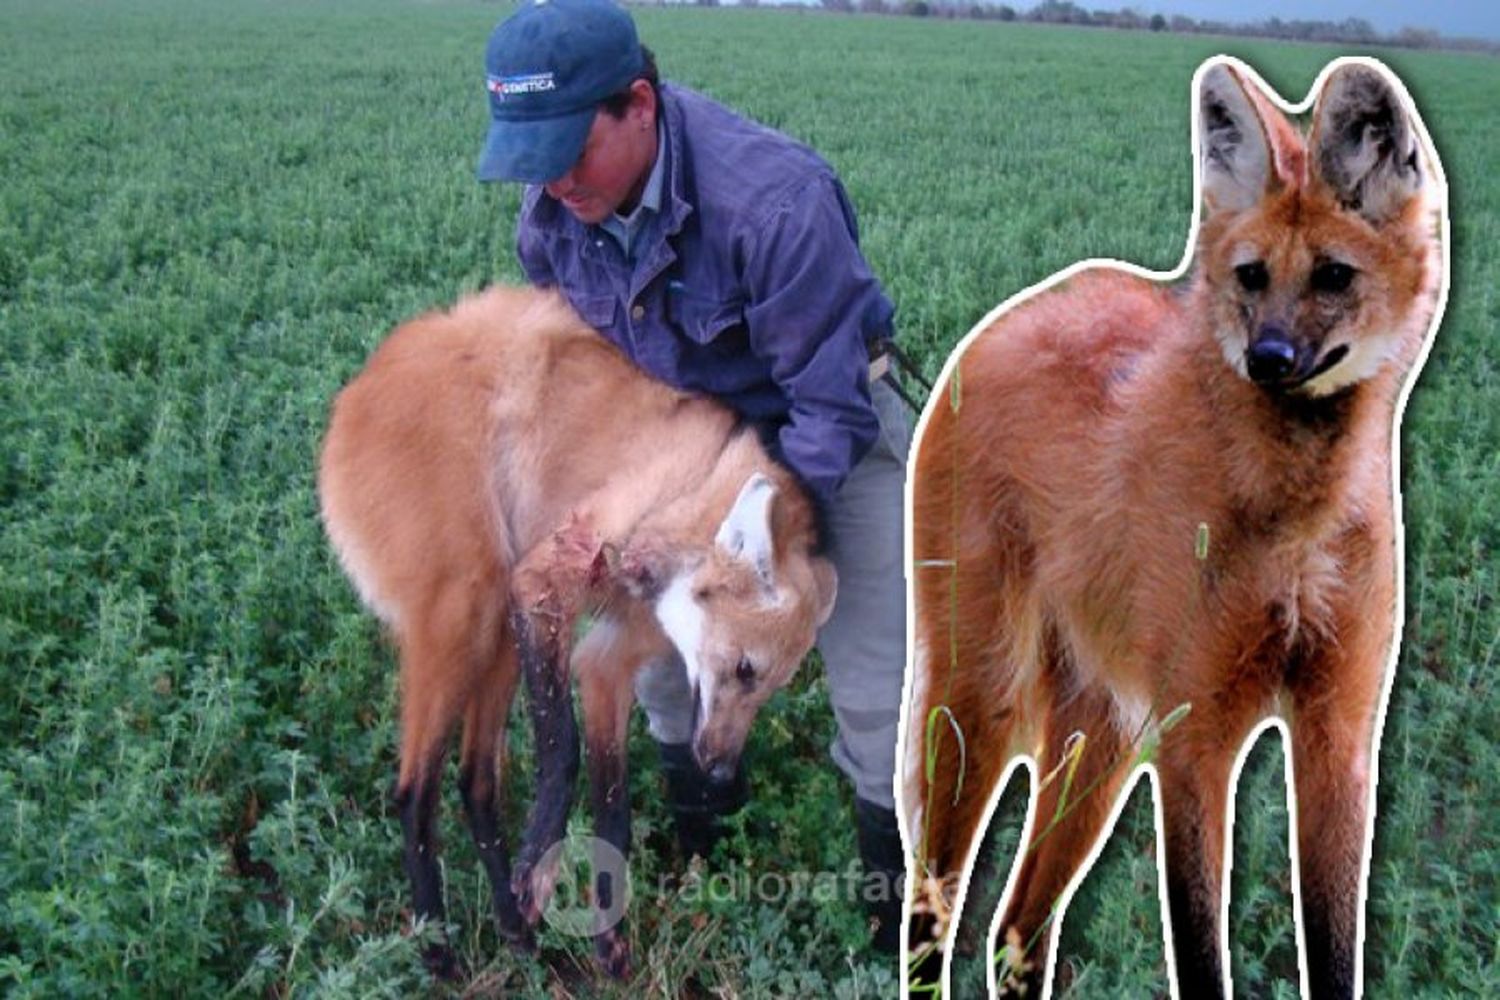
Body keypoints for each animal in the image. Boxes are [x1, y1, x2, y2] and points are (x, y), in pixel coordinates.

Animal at [318, 283, 840, 977]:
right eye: (745, 669)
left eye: (767, 689)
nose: (721, 772)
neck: (687, 488)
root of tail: (361, 383)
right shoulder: (545, 587)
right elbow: (563, 753)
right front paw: (543, 875)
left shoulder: (607, 658)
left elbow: (613, 802)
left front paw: (605, 941)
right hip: (471, 611)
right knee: (414, 793)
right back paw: (437, 948)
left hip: (501, 630)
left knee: (476, 782)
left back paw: (518, 934)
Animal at [906, 58, 1446, 995]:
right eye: (1251, 277)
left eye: (1334, 277)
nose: (1268, 360)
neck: (1295, 521)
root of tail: (1009, 315)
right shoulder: (1196, 740)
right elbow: (1198, 948)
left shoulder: (1337, 738)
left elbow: (1336, 949)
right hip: (986, 697)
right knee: (933, 902)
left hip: (1105, 738)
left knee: (1016, 928)